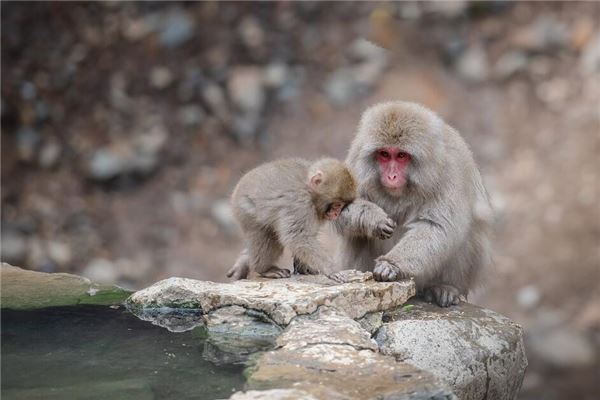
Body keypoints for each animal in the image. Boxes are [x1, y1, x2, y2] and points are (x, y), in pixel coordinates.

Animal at [224, 158, 358, 280]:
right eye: (337, 205)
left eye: (342, 206)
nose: (336, 214)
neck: (309, 190)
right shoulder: (298, 203)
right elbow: (298, 237)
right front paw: (331, 269)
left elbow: (306, 237)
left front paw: (304, 267)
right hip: (246, 211)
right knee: (267, 239)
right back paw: (265, 269)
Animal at [332, 101, 492, 308]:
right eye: (384, 154)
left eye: (401, 155)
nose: (391, 176)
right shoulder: (356, 158)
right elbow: (338, 209)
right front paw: (373, 219)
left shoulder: (449, 171)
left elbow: (438, 226)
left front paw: (390, 265)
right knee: (356, 236)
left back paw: (444, 287)